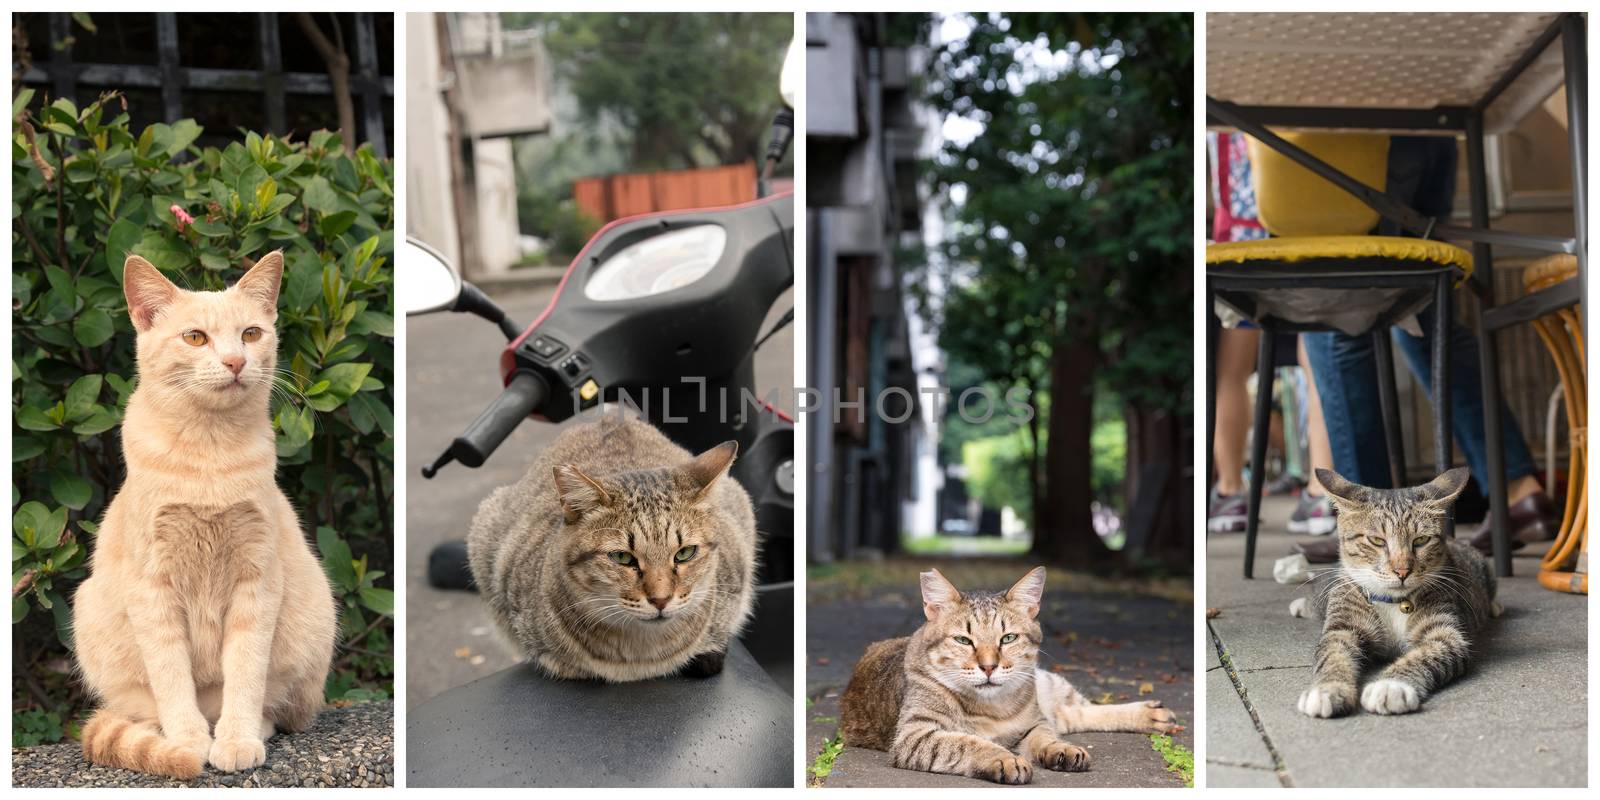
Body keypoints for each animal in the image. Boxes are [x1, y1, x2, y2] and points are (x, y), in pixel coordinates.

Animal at [72, 252, 337, 777]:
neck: (208, 456)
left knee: (278, 708)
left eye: (251, 334)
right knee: (146, 709)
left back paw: (247, 728)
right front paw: (187, 743)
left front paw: (235, 740)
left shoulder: (257, 581)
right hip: (88, 611)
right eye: (195, 337)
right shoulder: (152, 588)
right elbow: (172, 677)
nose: (235, 361)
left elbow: (246, 672)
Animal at [838, 566, 1177, 784]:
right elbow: (966, 742)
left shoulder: (1033, 723)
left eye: (1008, 638)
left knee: (1081, 710)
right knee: (1074, 715)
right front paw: (1003, 758)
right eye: (964, 640)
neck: (992, 708)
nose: (989, 666)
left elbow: (1046, 737)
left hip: (1048, 684)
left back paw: (1149, 715)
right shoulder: (915, 735)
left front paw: (1060, 749)